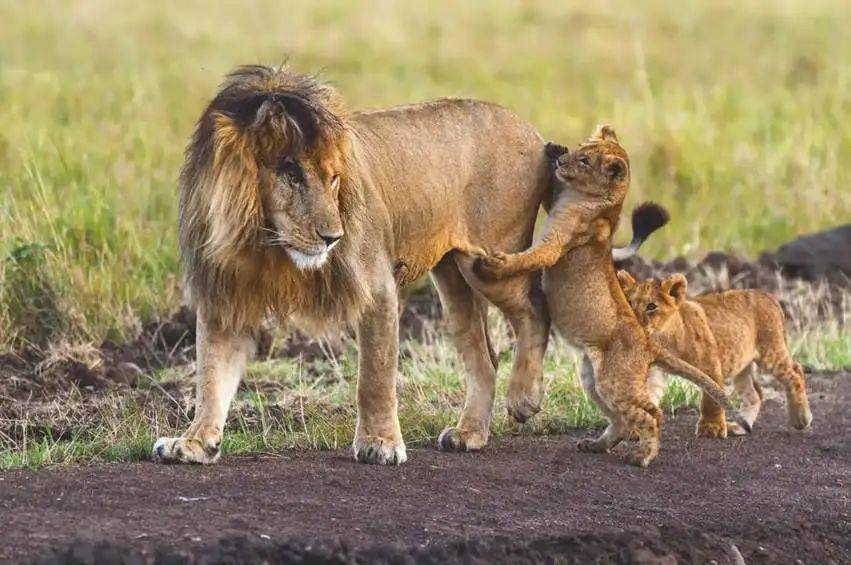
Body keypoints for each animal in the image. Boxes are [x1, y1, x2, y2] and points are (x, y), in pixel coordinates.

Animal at [152, 65, 552, 462]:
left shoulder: (376, 286)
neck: (263, 241)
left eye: (333, 179)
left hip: (487, 261)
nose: (333, 237)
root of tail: (533, 132)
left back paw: (524, 398)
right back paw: (469, 434)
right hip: (452, 278)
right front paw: (193, 442)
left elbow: (374, 376)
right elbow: (211, 374)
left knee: (535, 309)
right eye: (292, 175)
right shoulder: (225, 295)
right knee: (484, 358)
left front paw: (380, 443)